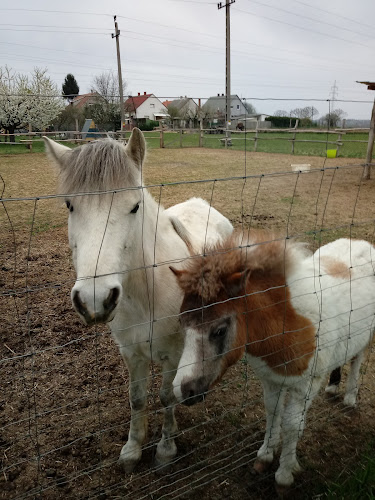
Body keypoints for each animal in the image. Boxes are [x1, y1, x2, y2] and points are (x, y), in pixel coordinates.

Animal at [43, 129, 232, 472]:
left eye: (134, 207)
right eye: (69, 205)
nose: (95, 299)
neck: (149, 293)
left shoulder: (173, 354)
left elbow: (167, 397)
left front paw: (166, 450)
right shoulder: (131, 353)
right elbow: (137, 398)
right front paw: (132, 450)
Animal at [171, 232, 375, 490]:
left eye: (219, 330)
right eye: (181, 323)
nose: (183, 390)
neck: (287, 324)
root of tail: (360, 242)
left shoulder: (304, 386)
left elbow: (292, 425)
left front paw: (285, 474)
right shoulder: (270, 379)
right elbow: (272, 411)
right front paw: (265, 455)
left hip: (368, 333)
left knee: (358, 358)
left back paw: (349, 397)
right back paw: (333, 386)